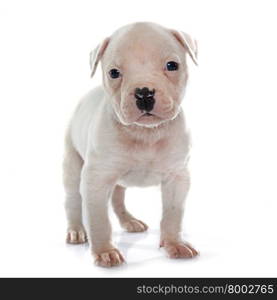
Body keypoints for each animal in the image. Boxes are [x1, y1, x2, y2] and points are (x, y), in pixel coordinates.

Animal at [63, 22, 198, 268]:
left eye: (172, 65)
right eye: (114, 73)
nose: (144, 92)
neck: (145, 133)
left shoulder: (177, 177)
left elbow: (173, 214)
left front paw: (174, 244)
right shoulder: (96, 180)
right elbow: (99, 219)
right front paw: (105, 252)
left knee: (117, 198)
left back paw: (129, 221)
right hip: (73, 165)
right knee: (74, 201)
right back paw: (76, 230)